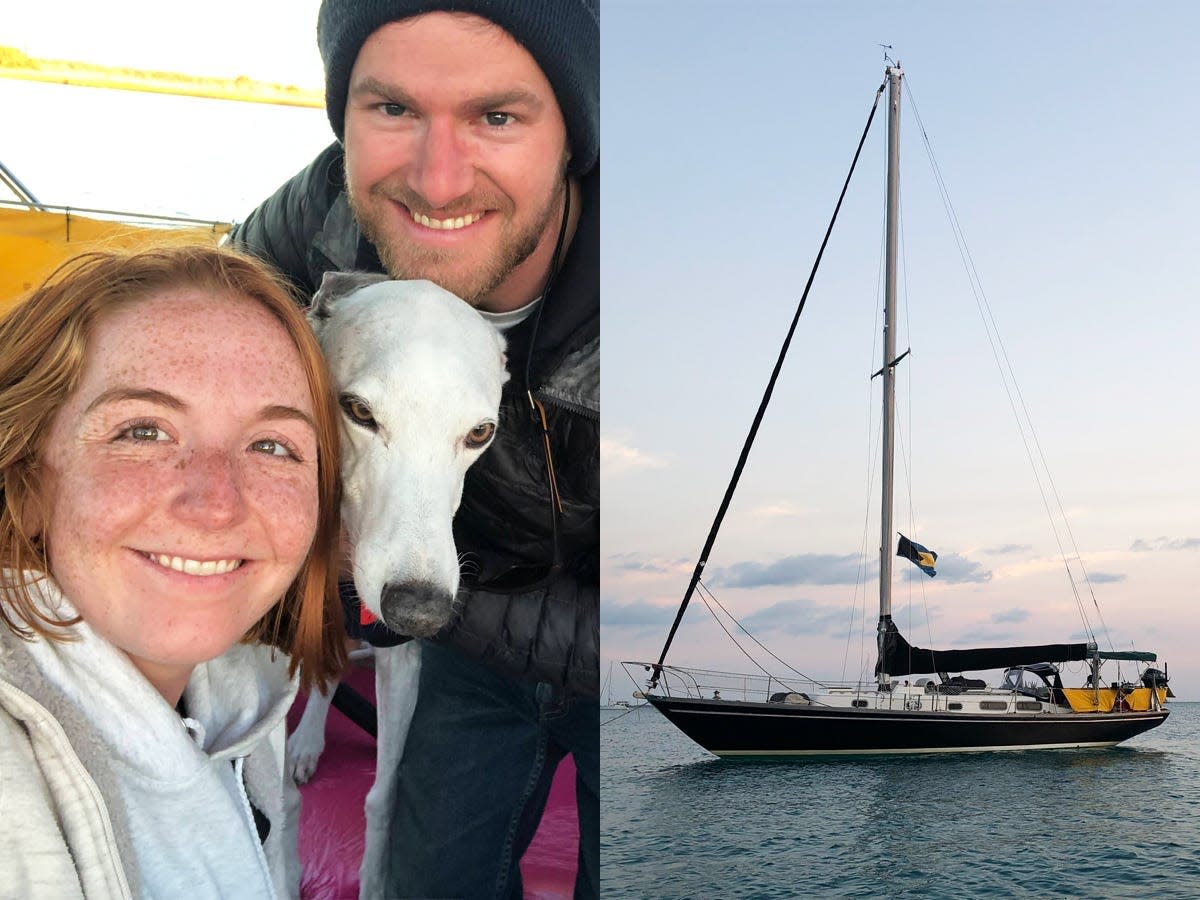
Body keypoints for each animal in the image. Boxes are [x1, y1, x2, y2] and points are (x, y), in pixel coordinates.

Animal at [288, 274, 508, 897]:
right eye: (359, 410)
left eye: (480, 432)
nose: (418, 609)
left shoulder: (402, 661)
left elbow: (382, 797)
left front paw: (374, 881)